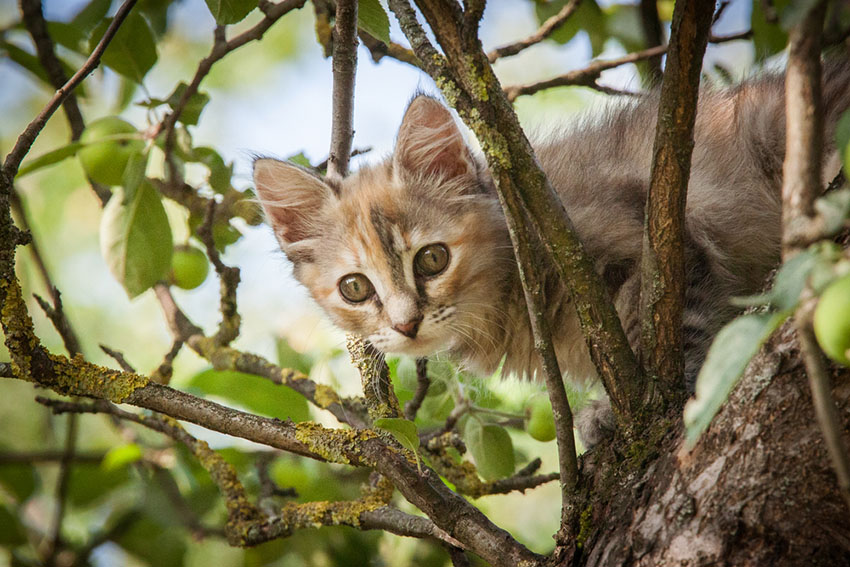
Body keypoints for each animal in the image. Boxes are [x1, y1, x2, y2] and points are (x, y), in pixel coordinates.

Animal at [252, 62, 848, 444]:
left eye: (432, 259)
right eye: (355, 288)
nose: (406, 325)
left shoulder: (663, 231)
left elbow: (680, 326)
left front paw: (650, 399)